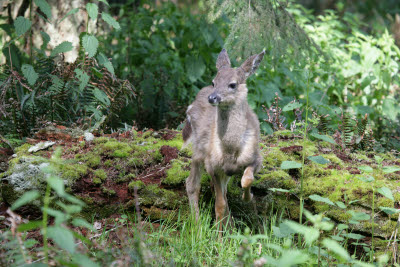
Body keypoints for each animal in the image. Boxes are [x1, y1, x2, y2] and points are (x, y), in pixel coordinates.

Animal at [182, 49, 264, 233]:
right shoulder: (212, 166)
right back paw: (198, 227)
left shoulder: (256, 158)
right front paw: (219, 238)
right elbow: (219, 205)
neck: (231, 150)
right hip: (199, 150)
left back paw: (231, 229)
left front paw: (248, 196)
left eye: (233, 84)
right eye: (214, 82)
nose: (212, 97)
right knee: (192, 184)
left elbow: (246, 180)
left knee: (223, 193)